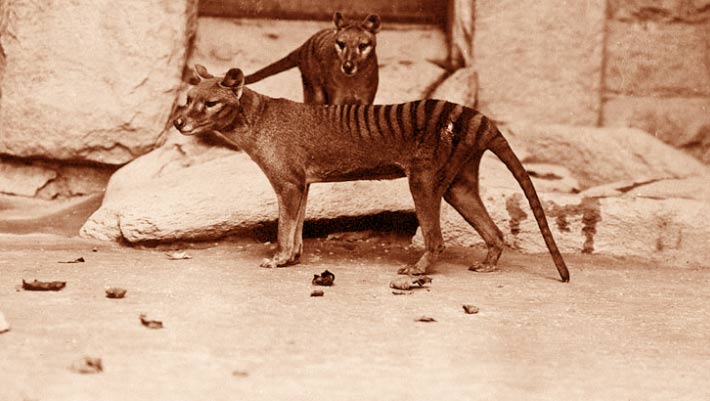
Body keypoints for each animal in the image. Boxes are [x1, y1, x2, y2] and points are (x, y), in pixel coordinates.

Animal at [172, 65, 570, 282]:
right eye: (188, 99)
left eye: (210, 103)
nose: (178, 123)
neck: (257, 118)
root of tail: (480, 119)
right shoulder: (302, 184)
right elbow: (297, 225)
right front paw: (295, 258)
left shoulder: (287, 183)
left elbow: (285, 226)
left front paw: (279, 259)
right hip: (459, 186)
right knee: (495, 232)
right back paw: (487, 265)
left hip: (423, 181)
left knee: (437, 239)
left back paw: (418, 270)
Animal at [244, 12, 380, 105]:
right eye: (341, 44)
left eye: (362, 45)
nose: (348, 66)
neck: (352, 82)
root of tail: (303, 46)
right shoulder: (336, 98)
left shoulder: (366, 99)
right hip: (315, 92)